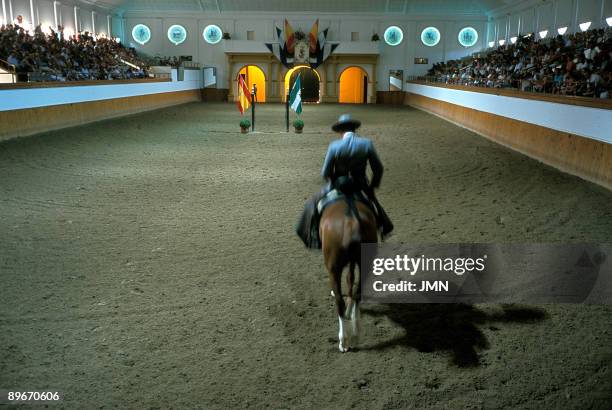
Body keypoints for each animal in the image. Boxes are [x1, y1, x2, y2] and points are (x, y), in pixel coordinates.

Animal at [320, 197, 378, 350]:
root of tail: (351, 223)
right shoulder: (353, 262)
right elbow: (350, 278)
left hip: (333, 269)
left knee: (339, 301)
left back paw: (343, 341)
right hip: (366, 265)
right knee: (358, 293)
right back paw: (355, 336)